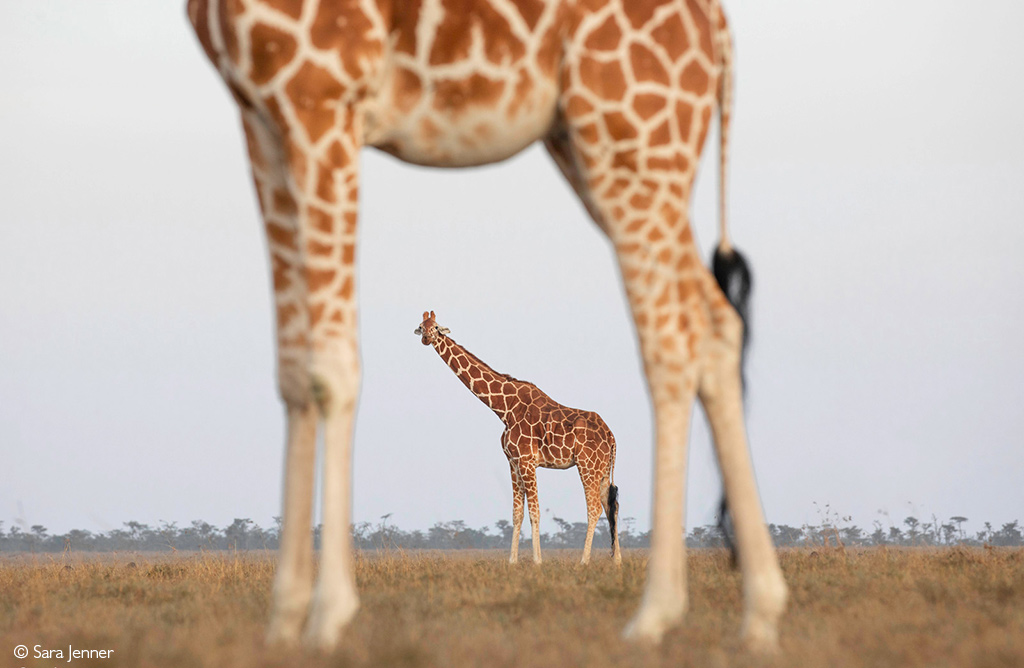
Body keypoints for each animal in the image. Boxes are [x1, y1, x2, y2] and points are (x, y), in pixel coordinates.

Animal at [415, 309, 622, 565]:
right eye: (421, 326)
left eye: (435, 327)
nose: (426, 338)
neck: (504, 408)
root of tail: (611, 437)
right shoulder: (513, 462)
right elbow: (517, 514)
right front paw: (512, 561)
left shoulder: (526, 461)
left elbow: (534, 512)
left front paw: (537, 561)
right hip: (603, 469)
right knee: (611, 507)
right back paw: (617, 561)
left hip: (587, 465)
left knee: (594, 509)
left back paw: (583, 562)